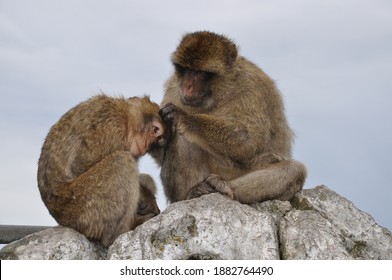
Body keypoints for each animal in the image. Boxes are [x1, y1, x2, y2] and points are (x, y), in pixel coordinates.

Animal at [37, 94, 163, 247]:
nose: (146, 146)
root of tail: (61, 219)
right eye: (155, 130)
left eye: (156, 139)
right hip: (84, 209)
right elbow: (80, 166)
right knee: (122, 161)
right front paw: (149, 201)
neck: (125, 116)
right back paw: (122, 232)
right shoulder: (109, 126)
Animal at [150, 30, 306, 205]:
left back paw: (225, 188)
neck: (220, 93)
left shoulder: (253, 87)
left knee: (295, 170)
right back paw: (191, 193)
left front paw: (183, 116)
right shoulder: (173, 87)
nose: (187, 86)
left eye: (200, 72)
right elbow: (161, 155)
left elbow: (249, 142)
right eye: (186, 69)